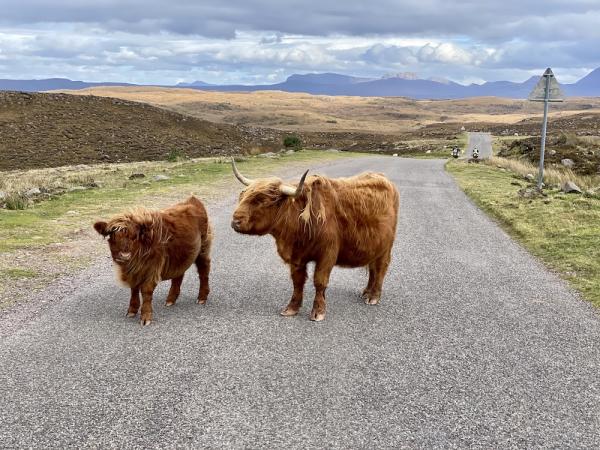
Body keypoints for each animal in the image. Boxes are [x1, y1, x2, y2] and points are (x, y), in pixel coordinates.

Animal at [232, 160, 400, 322]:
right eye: (243, 196)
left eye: (262, 200)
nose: (235, 221)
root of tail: (383, 178)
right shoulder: (296, 258)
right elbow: (297, 282)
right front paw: (291, 308)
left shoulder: (327, 255)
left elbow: (320, 282)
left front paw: (318, 311)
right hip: (374, 246)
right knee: (373, 269)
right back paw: (366, 292)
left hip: (386, 247)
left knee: (380, 268)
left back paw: (374, 296)